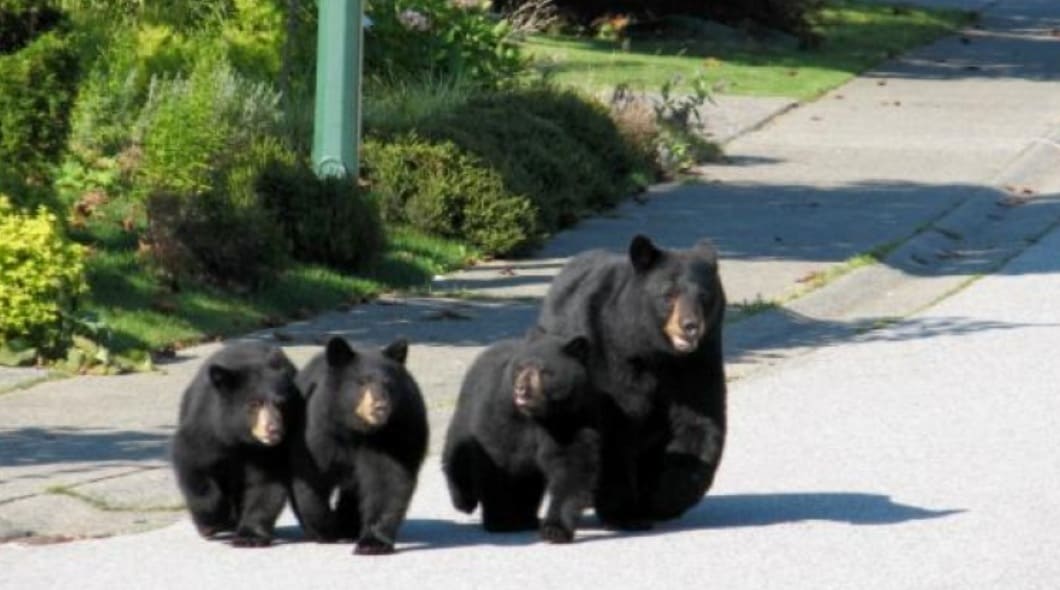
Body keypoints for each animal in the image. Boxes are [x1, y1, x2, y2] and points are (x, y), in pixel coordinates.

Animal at [171, 341, 303, 547]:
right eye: (254, 403)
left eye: (281, 404)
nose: (274, 430)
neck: (240, 439)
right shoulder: (207, 430)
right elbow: (194, 465)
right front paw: (213, 521)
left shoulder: (272, 452)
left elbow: (265, 485)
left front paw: (250, 536)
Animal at [288, 336, 428, 555]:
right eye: (362, 381)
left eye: (388, 383)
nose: (381, 407)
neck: (356, 430)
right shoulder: (318, 431)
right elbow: (310, 478)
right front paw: (325, 529)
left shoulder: (393, 435)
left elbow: (387, 481)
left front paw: (373, 542)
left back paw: (349, 526)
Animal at [442, 330, 599, 544]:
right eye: (521, 367)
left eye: (543, 370)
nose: (521, 389)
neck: (538, 415)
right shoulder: (501, 415)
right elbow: (499, 461)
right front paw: (502, 520)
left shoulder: (572, 418)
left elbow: (572, 467)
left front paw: (555, 529)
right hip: (466, 412)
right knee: (457, 455)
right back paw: (464, 501)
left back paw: (528, 518)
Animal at [536, 234, 726, 529]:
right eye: (668, 294)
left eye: (704, 296)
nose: (690, 326)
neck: (653, 352)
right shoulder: (608, 361)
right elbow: (614, 434)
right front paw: (623, 513)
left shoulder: (697, 362)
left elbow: (699, 423)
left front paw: (665, 499)